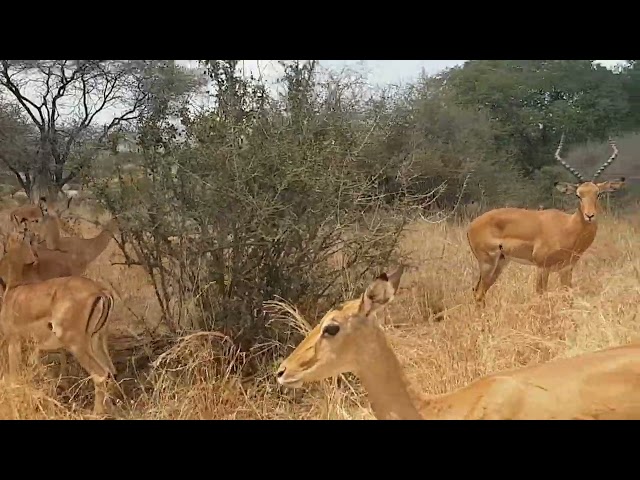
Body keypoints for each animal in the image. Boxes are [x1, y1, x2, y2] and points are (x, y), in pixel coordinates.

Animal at [0, 234, 116, 414]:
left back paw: (96, 413)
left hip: (76, 344)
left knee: (100, 373)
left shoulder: (14, 341)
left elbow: (13, 378)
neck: (15, 290)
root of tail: (101, 291)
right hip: (97, 342)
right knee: (110, 371)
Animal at [464, 133, 624, 302]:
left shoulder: (566, 269)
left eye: (598, 194)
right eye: (578, 195)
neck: (567, 227)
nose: (589, 215)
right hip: (488, 262)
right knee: (478, 292)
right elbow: (540, 294)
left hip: (501, 262)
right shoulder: (542, 267)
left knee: (479, 291)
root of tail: (471, 225)